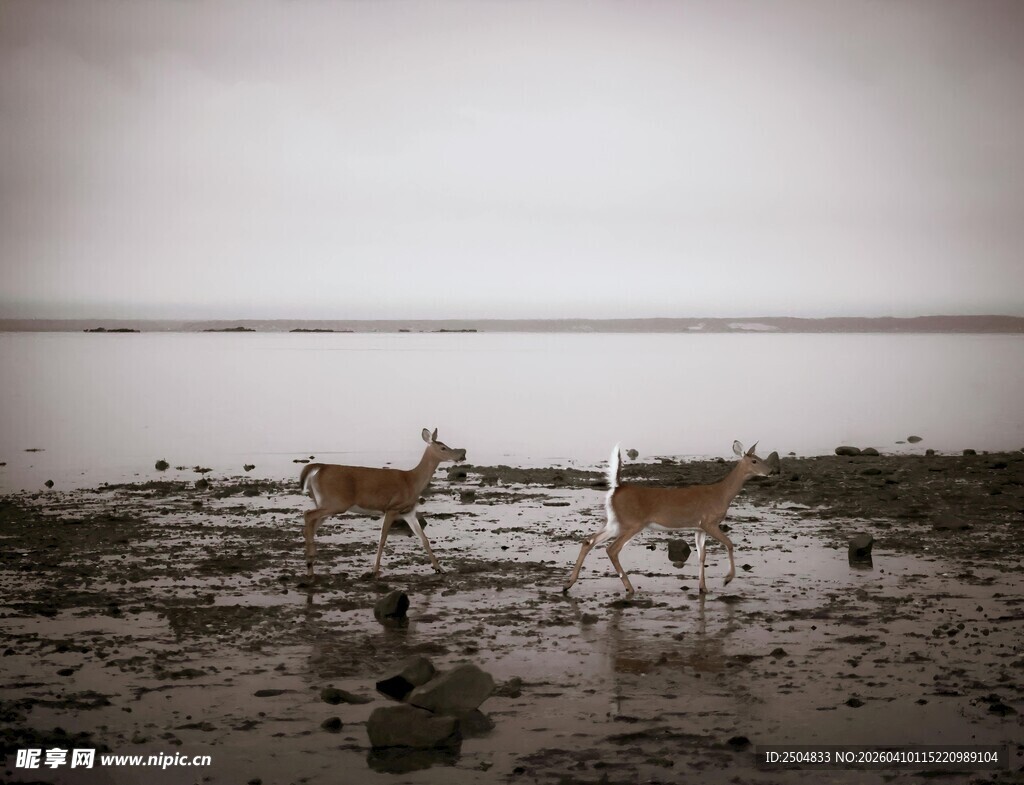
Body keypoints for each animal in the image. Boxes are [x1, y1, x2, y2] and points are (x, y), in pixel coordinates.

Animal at [299, 428, 466, 581]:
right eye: (443, 447)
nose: (461, 455)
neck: (412, 482)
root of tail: (319, 468)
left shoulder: (408, 512)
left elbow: (424, 539)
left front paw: (440, 569)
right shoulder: (391, 508)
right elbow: (382, 539)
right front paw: (375, 570)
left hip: (325, 503)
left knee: (310, 525)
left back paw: (310, 568)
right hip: (337, 503)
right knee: (308, 514)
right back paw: (309, 563)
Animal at [563, 441, 776, 596]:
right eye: (754, 461)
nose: (771, 471)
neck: (721, 494)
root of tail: (617, 487)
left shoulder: (698, 528)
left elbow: (702, 556)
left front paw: (703, 588)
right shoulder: (709, 522)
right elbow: (730, 544)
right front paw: (727, 579)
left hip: (614, 522)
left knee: (588, 541)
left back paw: (568, 584)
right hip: (633, 523)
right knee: (612, 549)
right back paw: (629, 588)